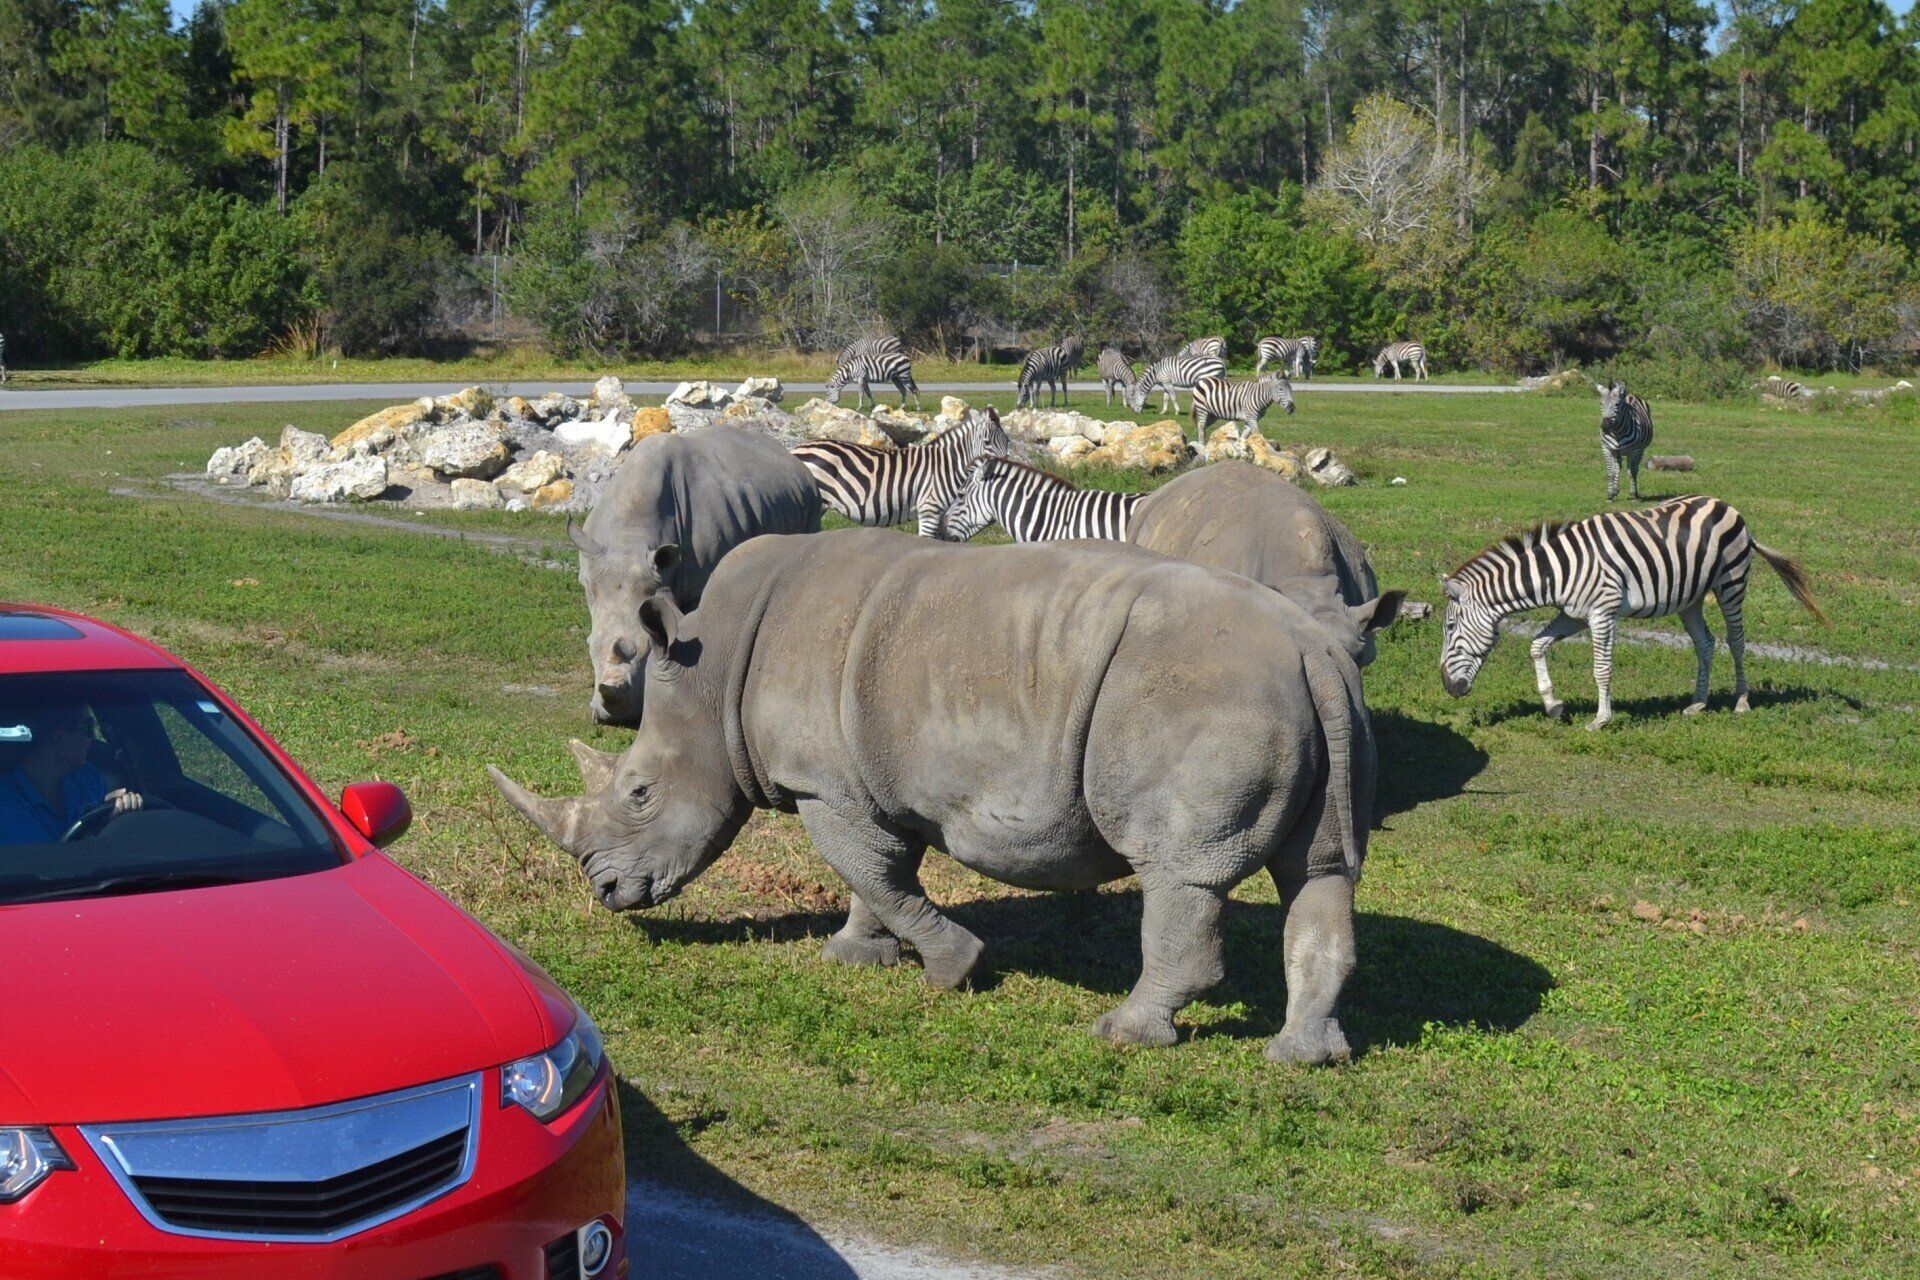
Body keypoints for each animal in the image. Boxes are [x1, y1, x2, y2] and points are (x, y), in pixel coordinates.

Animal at [491, 529, 1376, 1065]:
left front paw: (954, 969)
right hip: (1304, 699)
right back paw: (1305, 1057)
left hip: (1203, 697)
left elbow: (873, 871)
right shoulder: (864, 778)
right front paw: (856, 954)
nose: (606, 890)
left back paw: (1124, 1035)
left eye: (639, 792)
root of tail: (1314, 650)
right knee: (1320, 870)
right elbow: (879, 871)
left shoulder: (824, 783)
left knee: (1178, 870)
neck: (710, 678)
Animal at [572, 425, 821, 725]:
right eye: (589, 647)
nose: (614, 718)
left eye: (647, 651)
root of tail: (788, 454)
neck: (631, 541)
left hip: (810, 499)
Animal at [791, 407, 1009, 537]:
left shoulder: (942, 515)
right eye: (987, 442)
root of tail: (796, 448)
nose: (1001, 470)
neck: (949, 466)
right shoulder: (929, 509)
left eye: (1007, 441)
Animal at [1439, 494, 1825, 731]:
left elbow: (1601, 669)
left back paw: (1742, 702)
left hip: (1731, 583)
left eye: (1450, 626)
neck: (1559, 571)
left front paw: (1601, 720)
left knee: (1736, 641)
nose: (1447, 687)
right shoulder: (1574, 614)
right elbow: (1537, 645)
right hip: (1690, 599)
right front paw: (1552, 704)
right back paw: (1698, 703)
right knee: (1706, 643)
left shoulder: (1603, 612)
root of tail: (1728, 506)